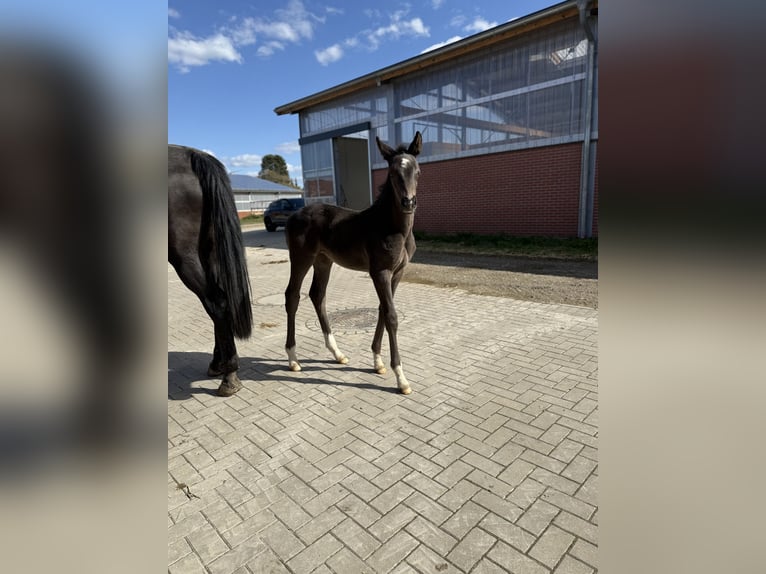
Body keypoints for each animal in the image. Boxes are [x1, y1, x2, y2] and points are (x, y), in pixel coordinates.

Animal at [168, 144, 253, 397]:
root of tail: (194, 156)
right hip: (210, 250)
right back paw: (219, 364)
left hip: (185, 257)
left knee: (216, 302)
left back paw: (229, 376)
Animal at [284, 131, 422, 394]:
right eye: (392, 173)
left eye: (417, 171)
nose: (408, 203)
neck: (392, 227)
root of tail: (294, 215)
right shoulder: (380, 272)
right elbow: (391, 315)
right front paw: (401, 378)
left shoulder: (397, 273)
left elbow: (382, 310)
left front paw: (378, 362)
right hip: (301, 258)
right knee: (293, 296)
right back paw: (293, 359)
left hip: (323, 261)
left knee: (317, 295)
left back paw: (337, 354)